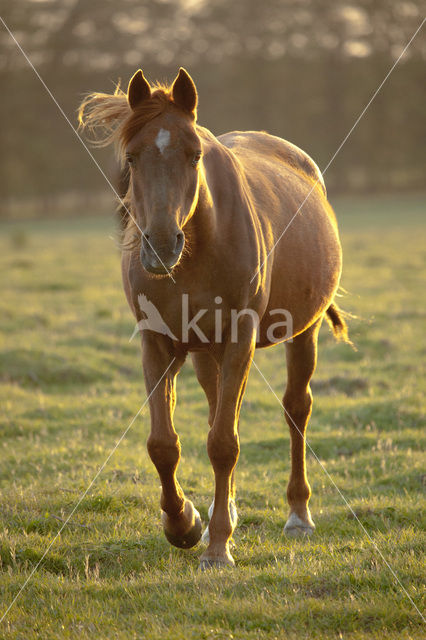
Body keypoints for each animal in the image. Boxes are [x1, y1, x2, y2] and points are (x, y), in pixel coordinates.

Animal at [79, 67, 350, 568]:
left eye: (194, 155)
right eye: (132, 157)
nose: (160, 245)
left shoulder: (240, 337)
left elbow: (224, 443)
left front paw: (218, 545)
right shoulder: (158, 342)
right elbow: (164, 444)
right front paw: (184, 523)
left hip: (301, 333)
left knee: (295, 410)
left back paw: (298, 515)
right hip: (206, 351)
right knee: (214, 408)